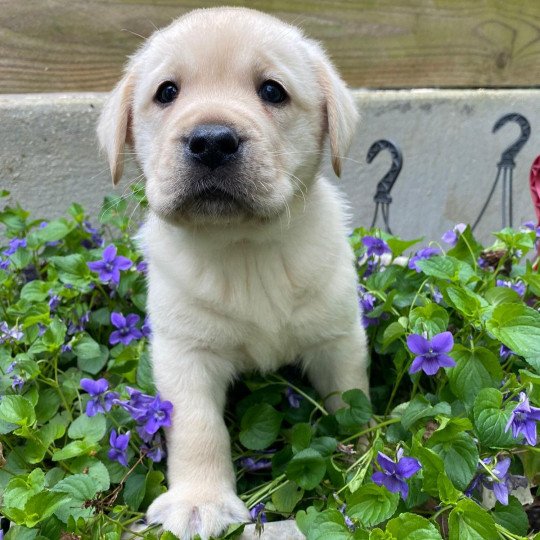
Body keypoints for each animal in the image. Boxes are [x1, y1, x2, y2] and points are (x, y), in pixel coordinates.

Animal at [97, 6, 370, 536]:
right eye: (167, 92)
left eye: (272, 91)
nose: (211, 141)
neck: (243, 248)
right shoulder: (184, 353)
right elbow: (198, 430)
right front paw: (199, 501)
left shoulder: (338, 339)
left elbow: (351, 401)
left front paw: (369, 459)